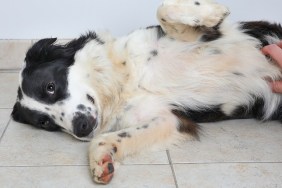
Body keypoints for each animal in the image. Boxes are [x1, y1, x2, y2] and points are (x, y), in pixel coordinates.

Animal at [9, 0, 282, 184]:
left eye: (50, 87)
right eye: (46, 123)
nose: (81, 128)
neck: (125, 80)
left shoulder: (201, 35)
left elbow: (164, 10)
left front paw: (213, 11)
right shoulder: (167, 119)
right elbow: (107, 139)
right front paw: (101, 161)